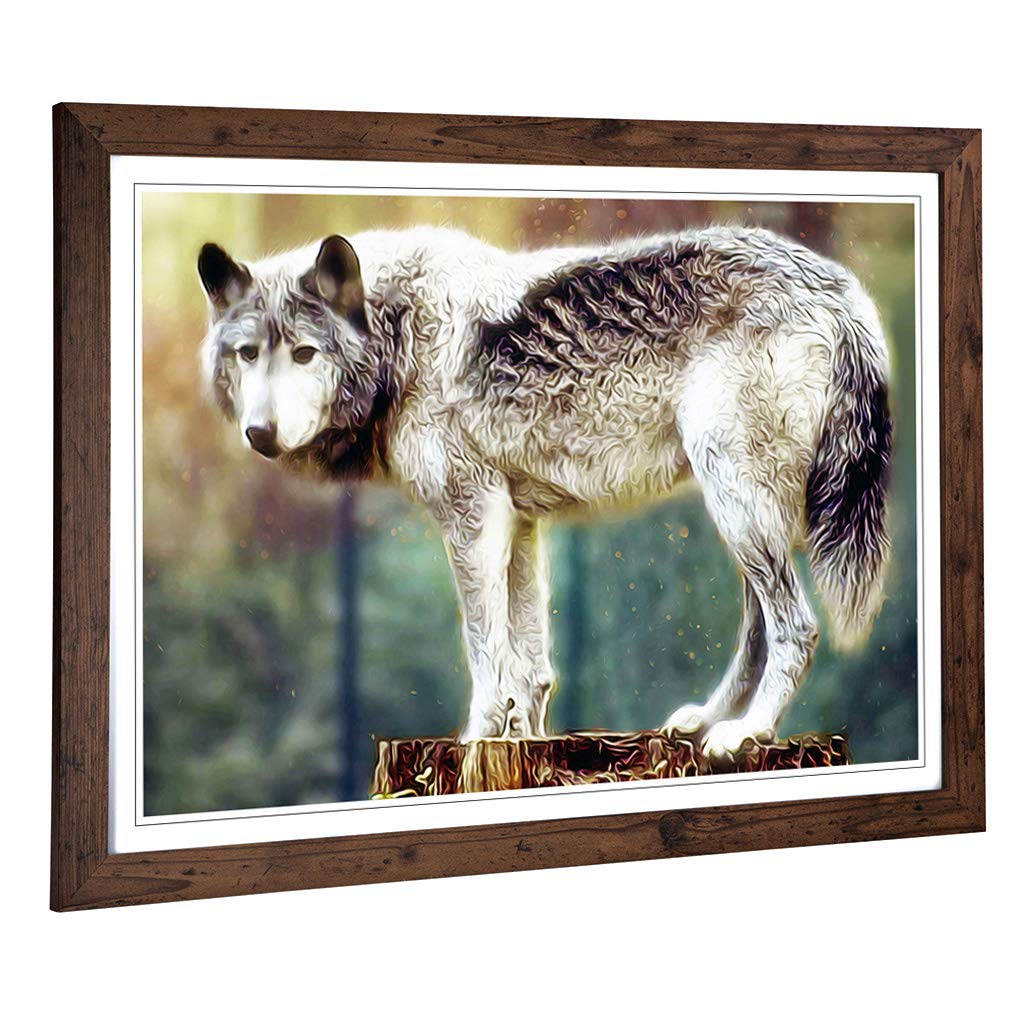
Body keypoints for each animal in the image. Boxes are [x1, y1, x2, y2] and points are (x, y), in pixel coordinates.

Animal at [197, 223, 892, 759]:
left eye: (305, 354)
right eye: (249, 354)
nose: (259, 433)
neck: (400, 335)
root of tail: (845, 293)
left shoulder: (473, 515)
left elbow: (485, 651)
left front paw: (476, 739)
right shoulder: (519, 521)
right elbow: (530, 666)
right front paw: (524, 743)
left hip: (737, 500)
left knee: (796, 627)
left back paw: (749, 733)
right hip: (744, 511)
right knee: (759, 626)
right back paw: (706, 720)